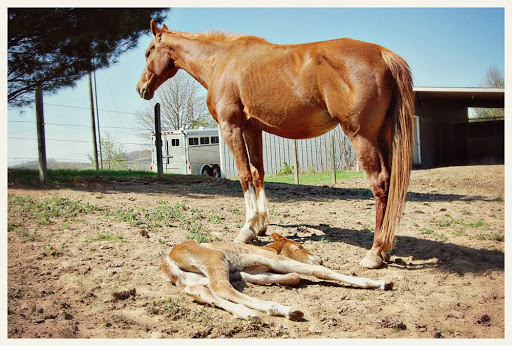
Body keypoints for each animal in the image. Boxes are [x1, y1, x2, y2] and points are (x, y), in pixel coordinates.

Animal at [138, 20, 414, 268]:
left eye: (149, 51)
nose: (142, 88)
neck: (221, 61)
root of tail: (383, 54)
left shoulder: (231, 127)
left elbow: (244, 175)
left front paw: (247, 229)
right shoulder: (253, 129)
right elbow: (258, 173)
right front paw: (260, 226)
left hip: (362, 137)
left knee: (380, 183)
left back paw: (375, 252)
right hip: (382, 137)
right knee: (390, 182)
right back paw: (386, 248)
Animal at [162, 234, 394, 320]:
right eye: (299, 246)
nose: (319, 258)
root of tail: (167, 262)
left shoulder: (261, 268)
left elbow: (294, 276)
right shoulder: (276, 260)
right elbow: (318, 272)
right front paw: (379, 282)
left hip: (195, 279)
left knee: (202, 291)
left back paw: (254, 312)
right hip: (215, 258)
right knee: (221, 288)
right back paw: (273, 310)